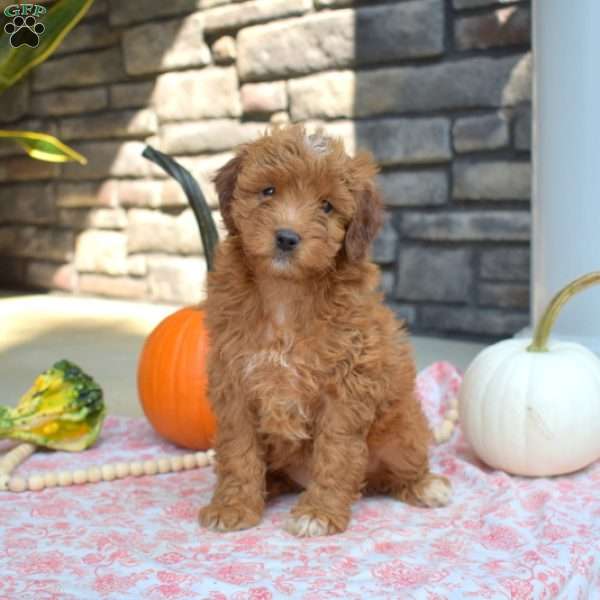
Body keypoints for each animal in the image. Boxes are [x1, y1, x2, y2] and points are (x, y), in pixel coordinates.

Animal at [199, 124, 452, 536]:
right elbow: (238, 450)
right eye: (269, 191)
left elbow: (337, 452)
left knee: (401, 466)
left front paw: (318, 512)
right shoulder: (234, 380)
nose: (287, 237)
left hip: (400, 430)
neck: (286, 293)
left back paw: (424, 485)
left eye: (327, 206)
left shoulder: (347, 384)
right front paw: (233, 505)